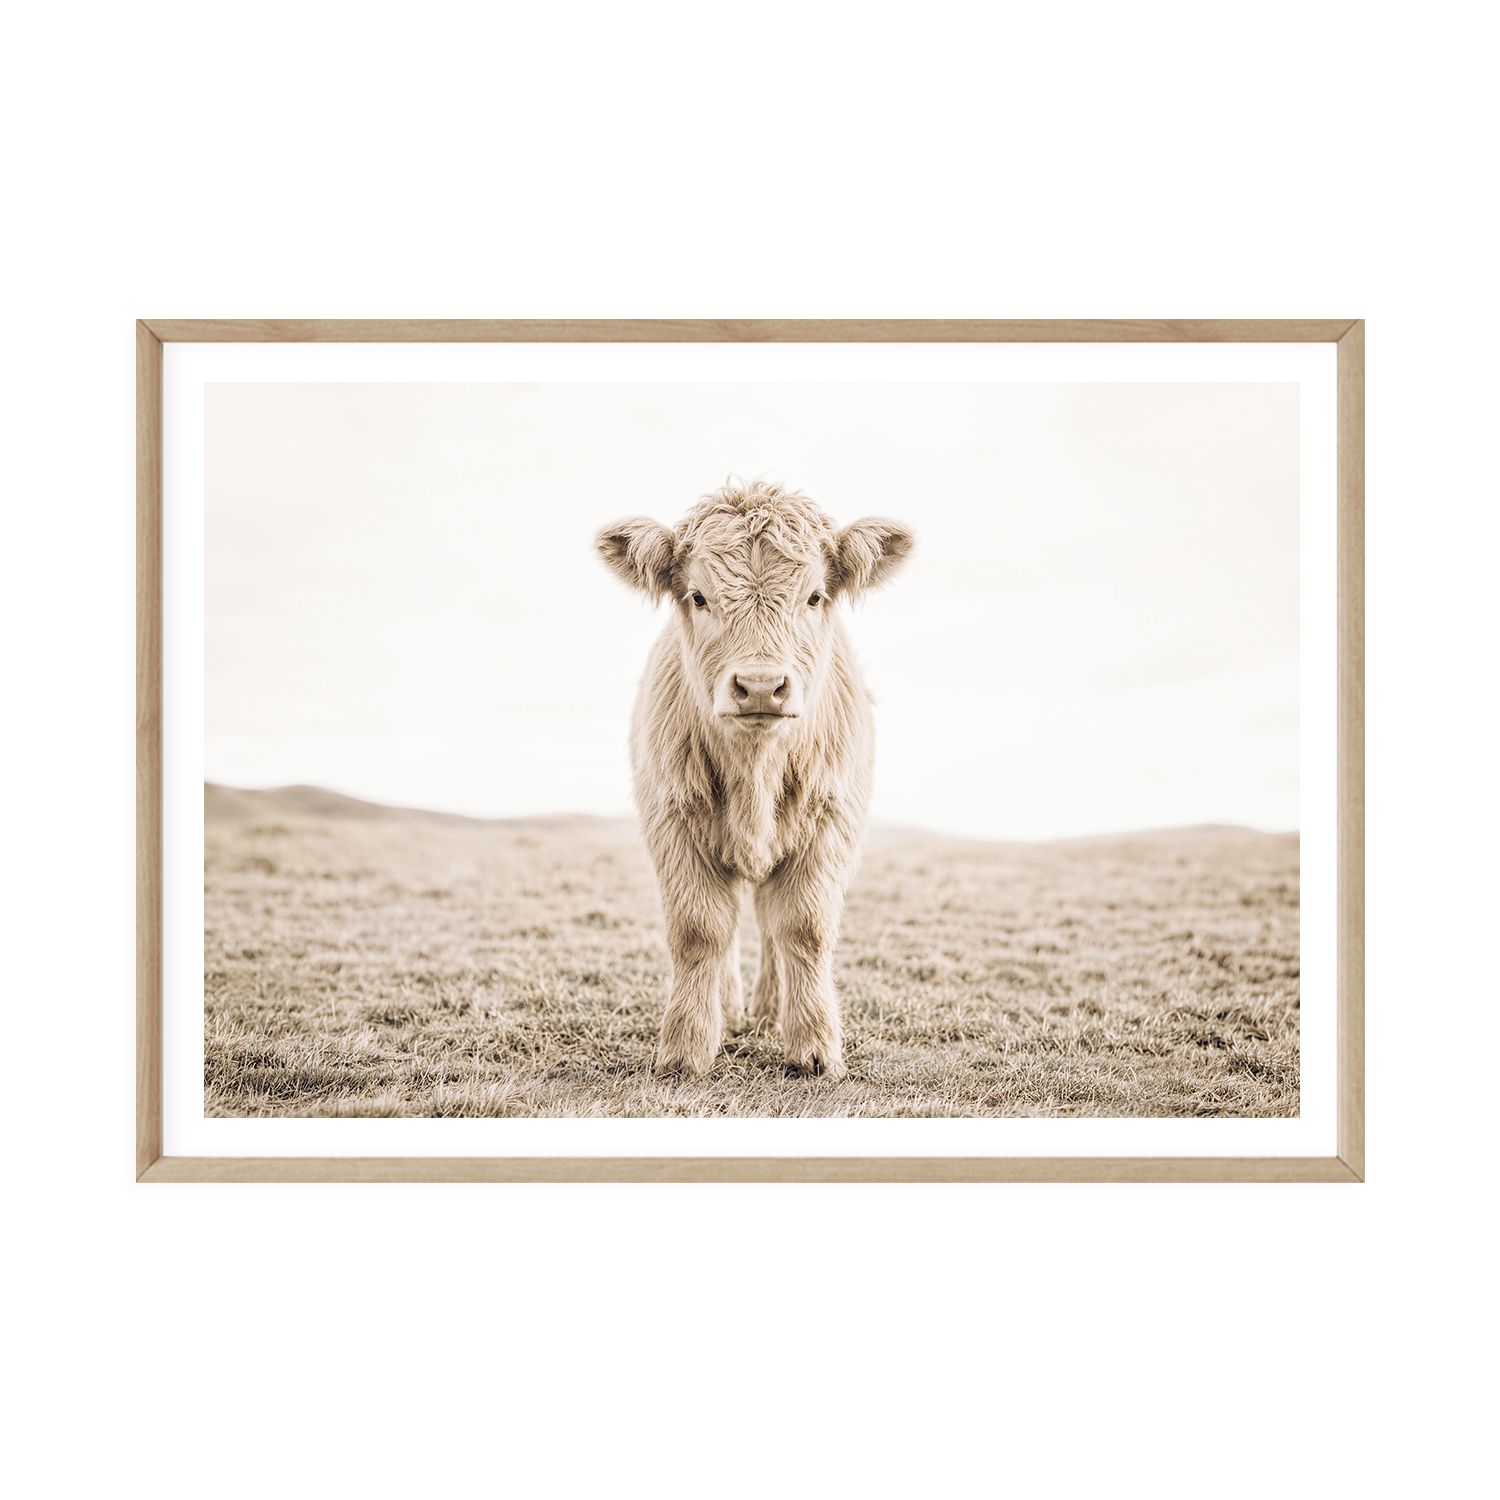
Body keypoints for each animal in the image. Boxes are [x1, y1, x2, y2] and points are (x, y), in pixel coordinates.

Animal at [596, 479, 914, 1079]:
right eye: (698, 596)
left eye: (814, 597)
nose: (762, 686)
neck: (756, 774)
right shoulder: (674, 823)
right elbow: (701, 931)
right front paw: (688, 1047)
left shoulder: (828, 825)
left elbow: (803, 928)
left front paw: (813, 1046)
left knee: (769, 922)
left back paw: (769, 1010)